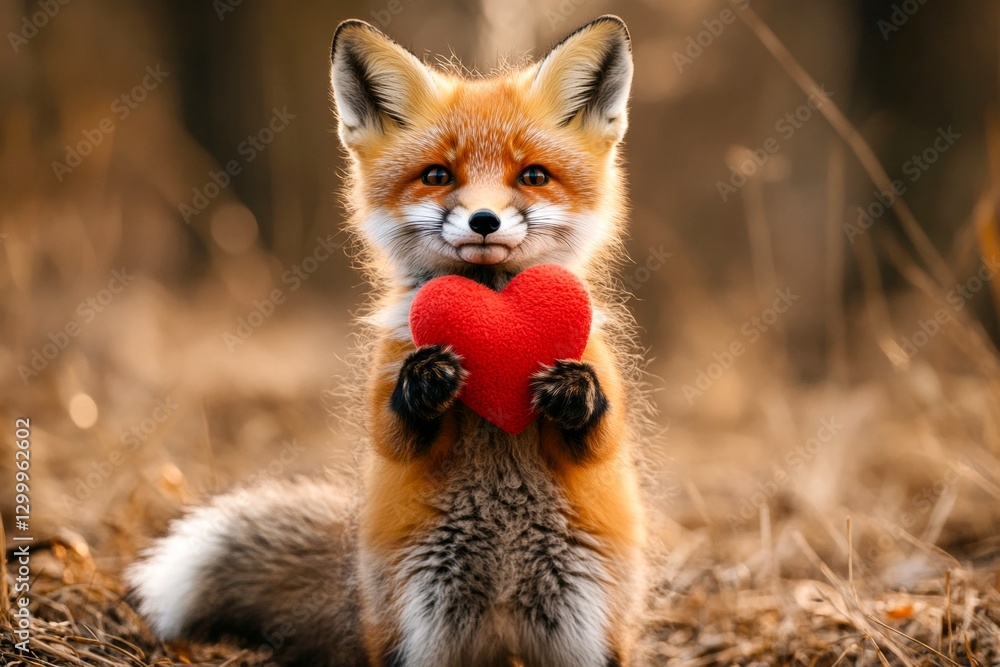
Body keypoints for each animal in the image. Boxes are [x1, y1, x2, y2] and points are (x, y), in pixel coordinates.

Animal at [127, 15, 650, 667]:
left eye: (532, 176)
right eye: (437, 176)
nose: (484, 221)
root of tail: (500, 627)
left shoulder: (604, 408)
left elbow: (599, 435)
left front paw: (573, 389)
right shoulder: (385, 391)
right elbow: (396, 431)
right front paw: (427, 380)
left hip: (584, 633)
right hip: (421, 629)